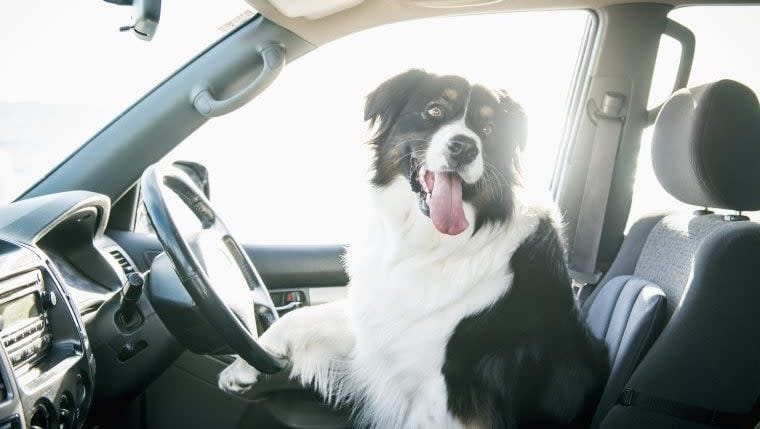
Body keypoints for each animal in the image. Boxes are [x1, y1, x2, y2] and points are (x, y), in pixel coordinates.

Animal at [217, 68, 608, 426]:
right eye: (435, 110)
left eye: (489, 129)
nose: (465, 147)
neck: (432, 243)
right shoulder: (384, 319)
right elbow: (301, 316)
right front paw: (243, 367)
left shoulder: (443, 401)